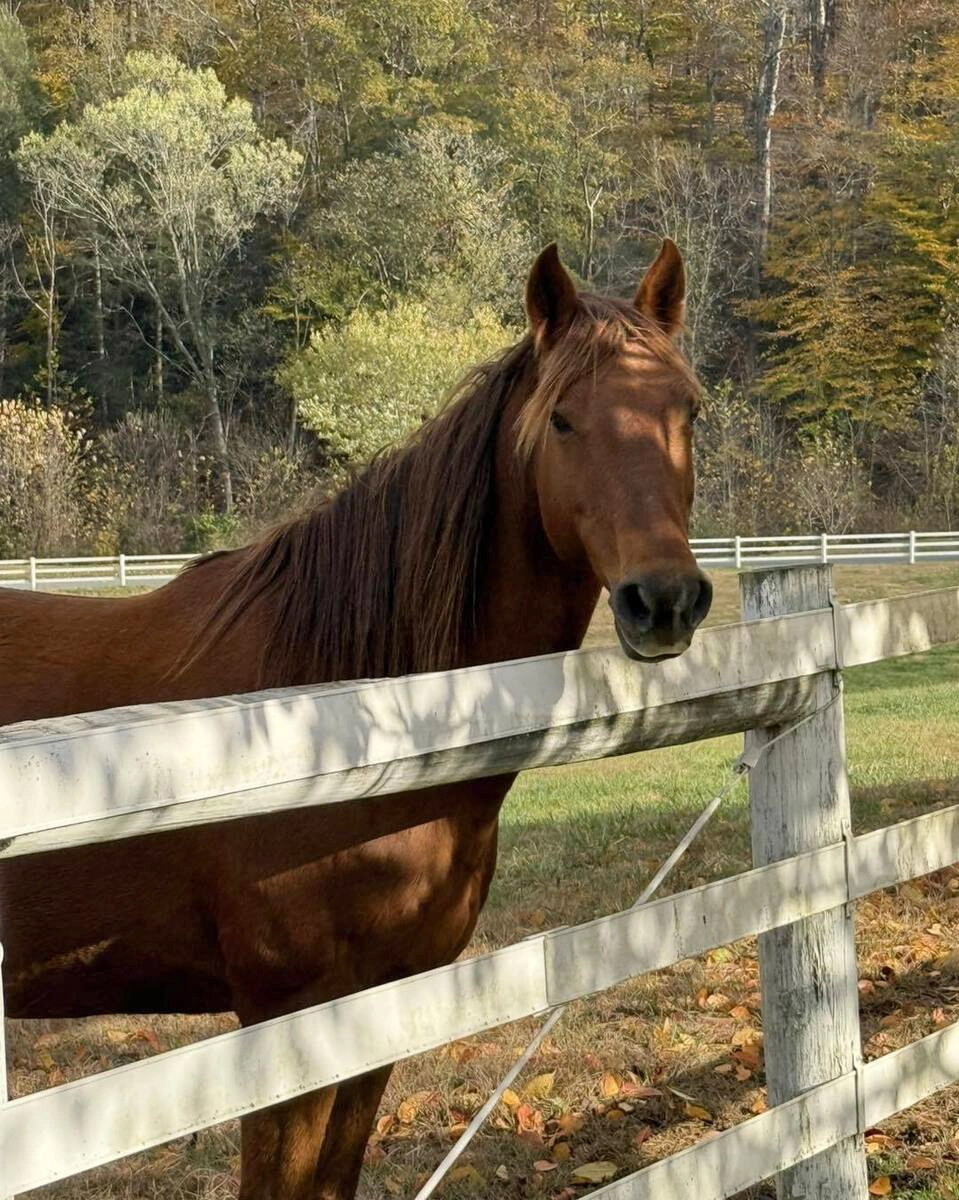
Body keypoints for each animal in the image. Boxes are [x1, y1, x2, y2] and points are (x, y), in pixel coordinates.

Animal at [0, 240, 711, 1199]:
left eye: (686, 412)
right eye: (562, 421)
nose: (662, 600)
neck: (343, 723)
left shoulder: (382, 1007)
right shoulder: (288, 1022)